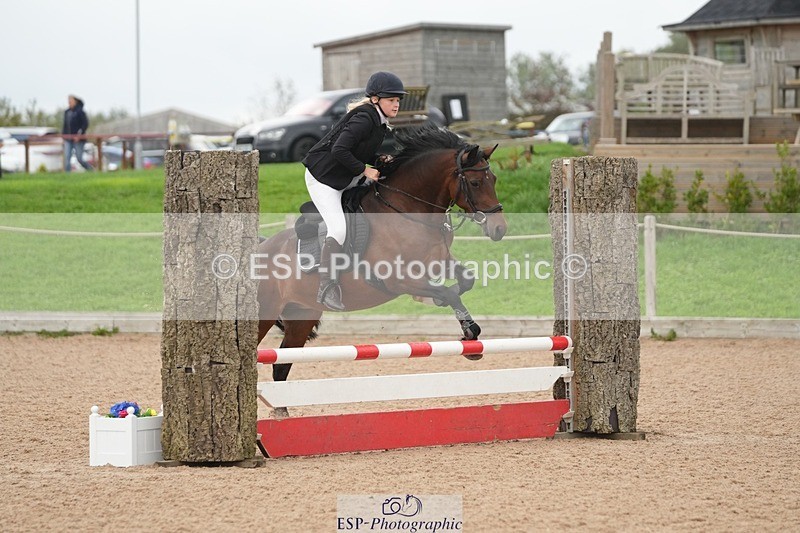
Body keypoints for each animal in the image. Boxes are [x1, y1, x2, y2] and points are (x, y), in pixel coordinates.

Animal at [256, 124, 508, 386]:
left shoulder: (438, 262)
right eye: (475, 183)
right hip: (264, 313)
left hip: (301, 315)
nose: (499, 229)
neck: (408, 211)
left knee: (281, 366)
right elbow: (447, 292)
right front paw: (468, 330)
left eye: (494, 179)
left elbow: (465, 280)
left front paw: (465, 329)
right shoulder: (397, 280)